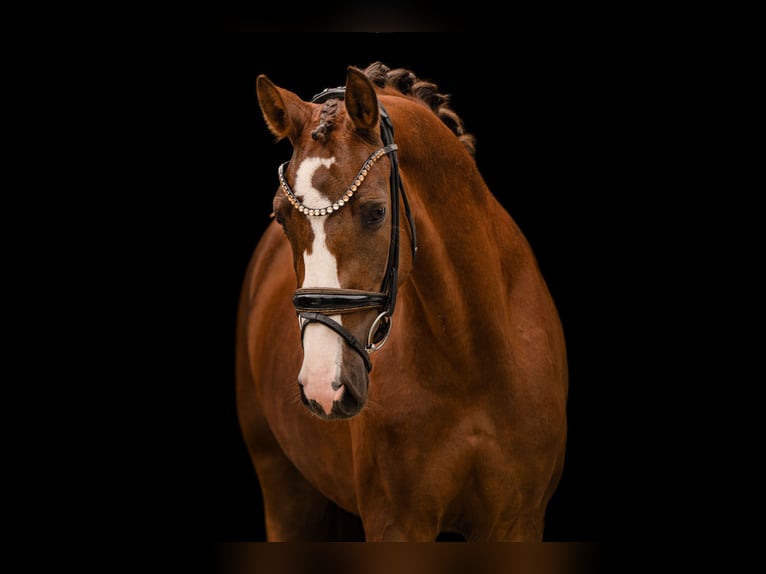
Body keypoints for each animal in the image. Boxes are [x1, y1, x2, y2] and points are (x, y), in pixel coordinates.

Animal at [236, 62, 568, 541]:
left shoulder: (518, 520)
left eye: (376, 212)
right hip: (283, 487)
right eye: (281, 215)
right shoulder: (397, 523)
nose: (322, 384)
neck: (472, 360)